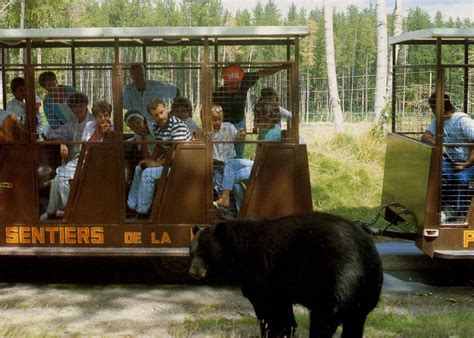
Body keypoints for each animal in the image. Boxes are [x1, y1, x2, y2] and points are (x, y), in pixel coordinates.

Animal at [188, 213, 382, 336]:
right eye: (191, 252)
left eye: (205, 252)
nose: (192, 272)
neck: (241, 252)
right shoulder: (281, 288)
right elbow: (284, 314)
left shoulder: (262, 272)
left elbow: (268, 310)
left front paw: (271, 331)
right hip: (367, 293)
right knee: (354, 324)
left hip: (336, 282)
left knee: (323, 321)